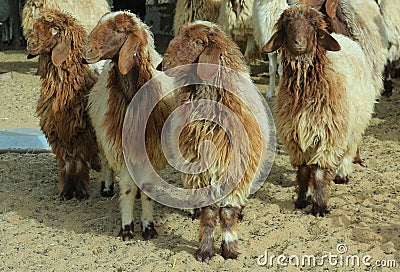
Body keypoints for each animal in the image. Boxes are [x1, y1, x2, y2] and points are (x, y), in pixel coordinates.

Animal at [25, 9, 101, 200]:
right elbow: (67, 162)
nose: (30, 43)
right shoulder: (57, 133)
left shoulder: (82, 132)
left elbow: (79, 161)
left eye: (55, 29)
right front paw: (66, 191)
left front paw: (80, 192)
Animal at [83, 11, 171, 240]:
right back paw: (106, 187)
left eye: (119, 30)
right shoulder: (121, 145)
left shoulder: (150, 148)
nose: (86, 52)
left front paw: (148, 227)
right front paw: (127, 228)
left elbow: (148, 186)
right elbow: (128, 187)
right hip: (102, 133)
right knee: (106, 161)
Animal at [161, 20, 270, 262]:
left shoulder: (235, 171)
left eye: (198, 42)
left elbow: (227, 213)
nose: (163, 64)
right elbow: (209, 213)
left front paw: (229, 249)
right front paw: (205, 250)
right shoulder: (201, 174)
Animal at [262, 4, 378, 217]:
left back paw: (342, 173)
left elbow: (318, 171)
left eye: (313, 25)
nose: (299, 43)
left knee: (349, 148)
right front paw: (302, 199)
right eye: (287, 25)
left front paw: (320, 206)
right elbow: (304, 169)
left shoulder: (328, 134)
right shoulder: (295, 136)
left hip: (356, 121)